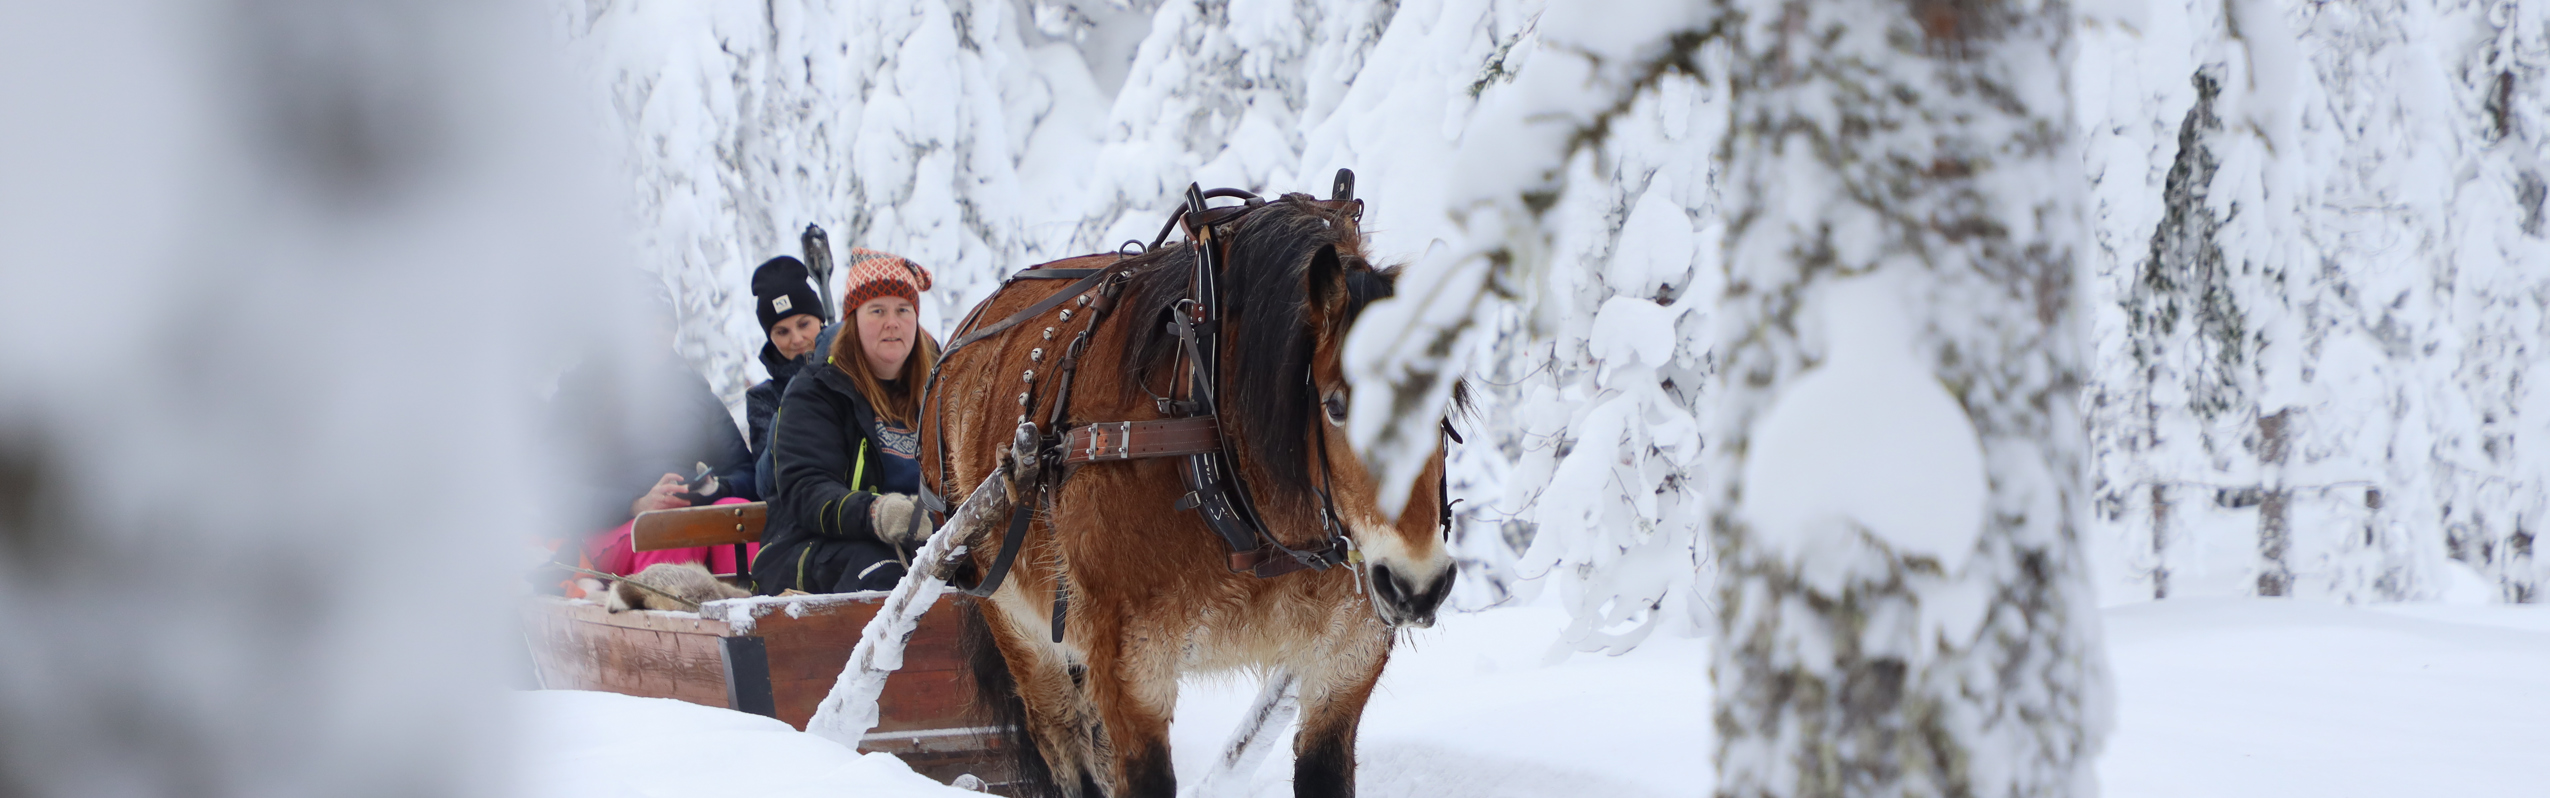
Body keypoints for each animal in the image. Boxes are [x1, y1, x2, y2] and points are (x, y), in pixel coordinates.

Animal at [928, 187, 1458, 795]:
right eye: (1336, 406)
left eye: (1444, 403)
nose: (1418, 585)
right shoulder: (1128, 667)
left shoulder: (1345, 662)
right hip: (1018, 627)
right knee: (1066, 744)